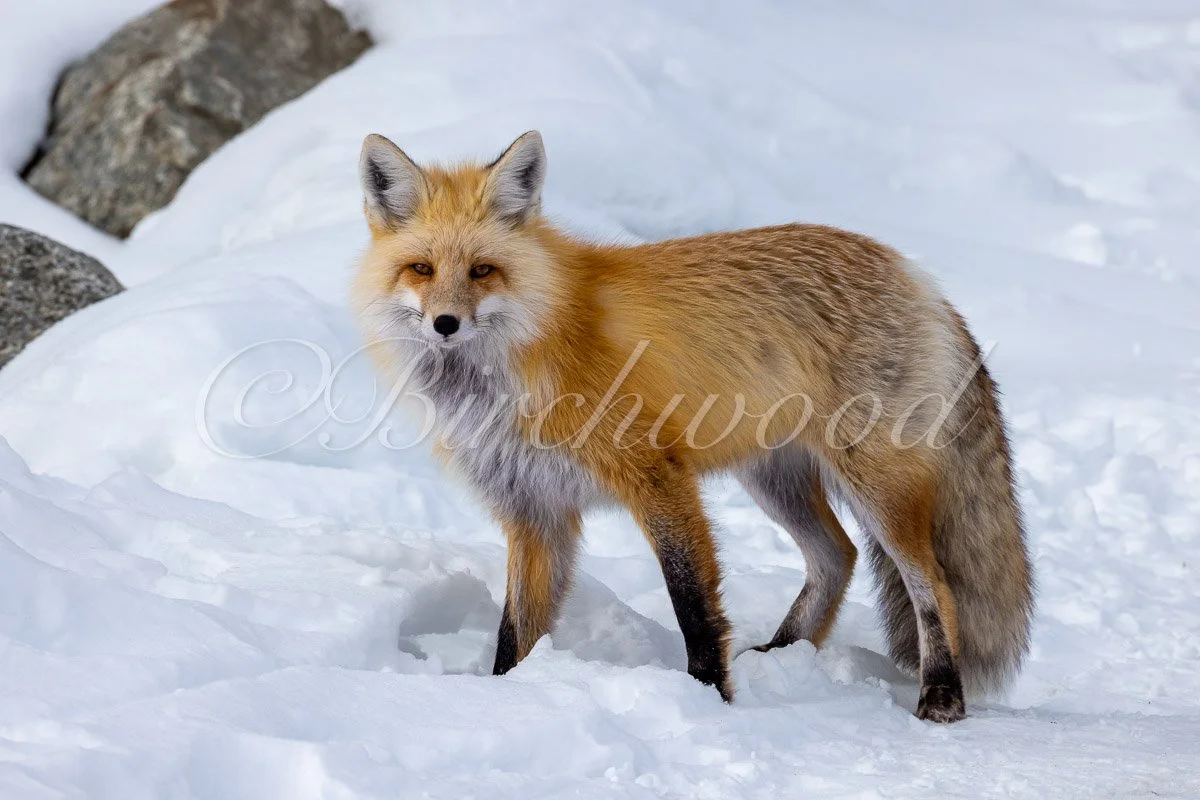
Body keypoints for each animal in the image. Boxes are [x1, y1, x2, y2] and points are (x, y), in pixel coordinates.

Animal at [352, 130, 1034, 723]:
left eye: (482, 271)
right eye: (421, 269)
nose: (444, 323)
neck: (518, 362)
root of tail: (915, 274)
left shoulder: (657, 475)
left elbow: (694, 606)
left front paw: (710, 698)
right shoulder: (535, 510)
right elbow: (515, 633)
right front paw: (501, 698)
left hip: (876, 485)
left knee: (934, 585)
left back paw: (941, 695)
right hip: (775, 479)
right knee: (837, 556)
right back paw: (782, 655)